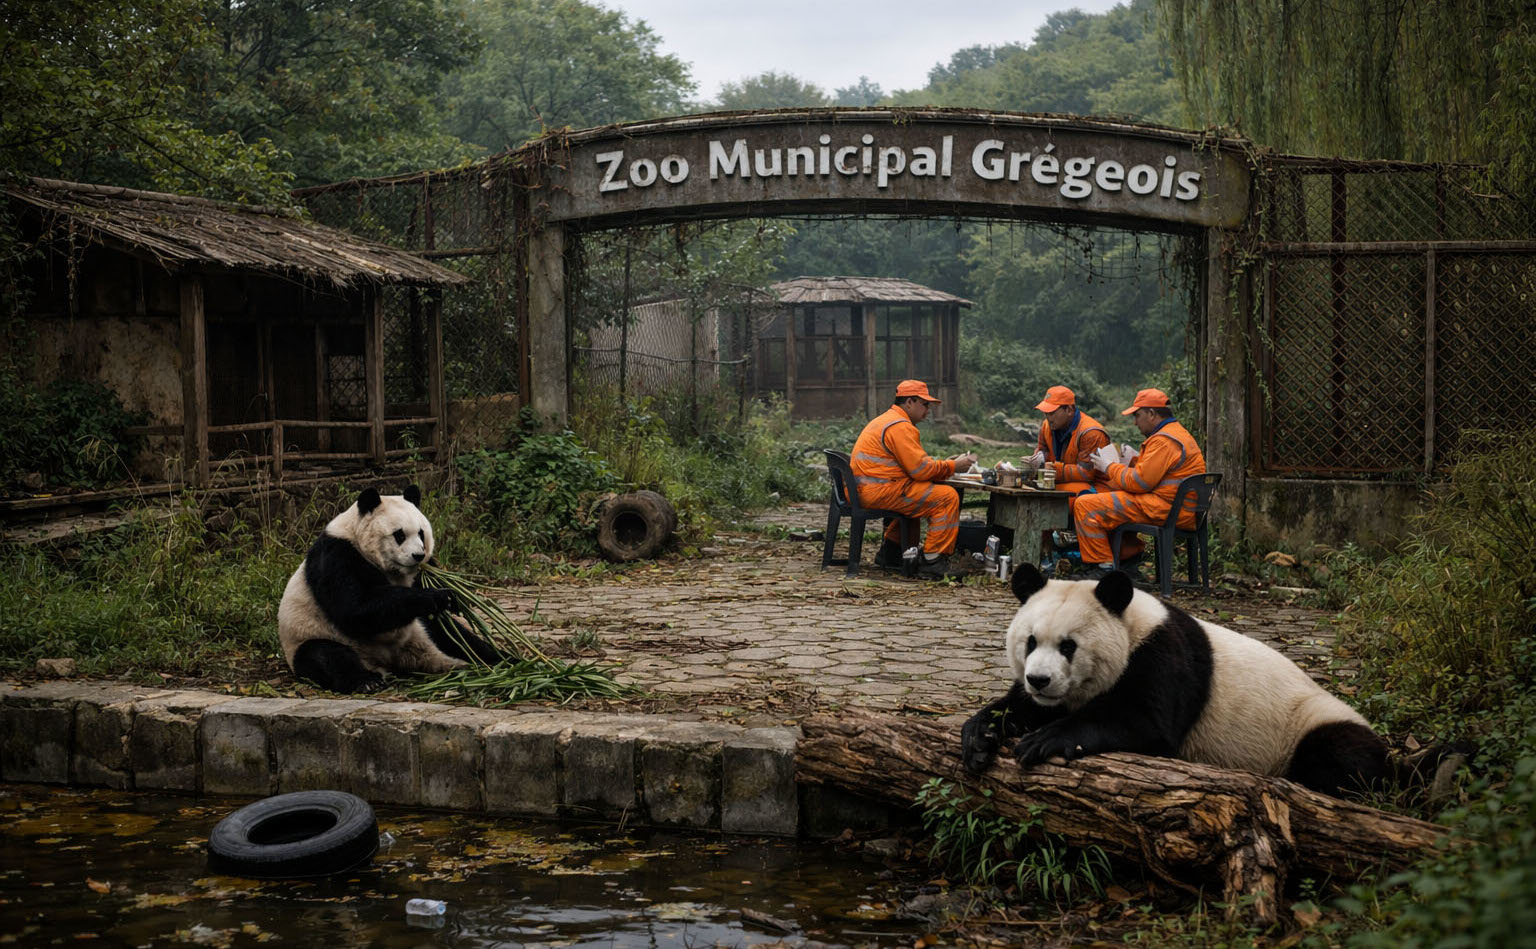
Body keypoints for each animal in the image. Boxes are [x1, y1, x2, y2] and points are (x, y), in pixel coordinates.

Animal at [278, 485, 502, 694]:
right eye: (399, 535)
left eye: (421, 533)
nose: (418, 555)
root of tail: (392, 660)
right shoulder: (337, 555)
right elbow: (354, 610)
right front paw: (438, 596)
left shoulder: (418, 573)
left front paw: (456, 595)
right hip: (311, 638)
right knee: (325, 656)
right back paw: (367, 681)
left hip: (421, 630)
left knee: (457, 638)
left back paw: (499, 659)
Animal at [961, 564, 1466, 799]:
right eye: (1030, 641)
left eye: (1069, 646)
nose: (1040, 679)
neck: (1133, 624)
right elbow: (1014, 708)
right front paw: (981, 737)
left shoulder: (1162, 658)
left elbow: (1146, 725)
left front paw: (1043, 740)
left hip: (1311, 724)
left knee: (1342, 760)